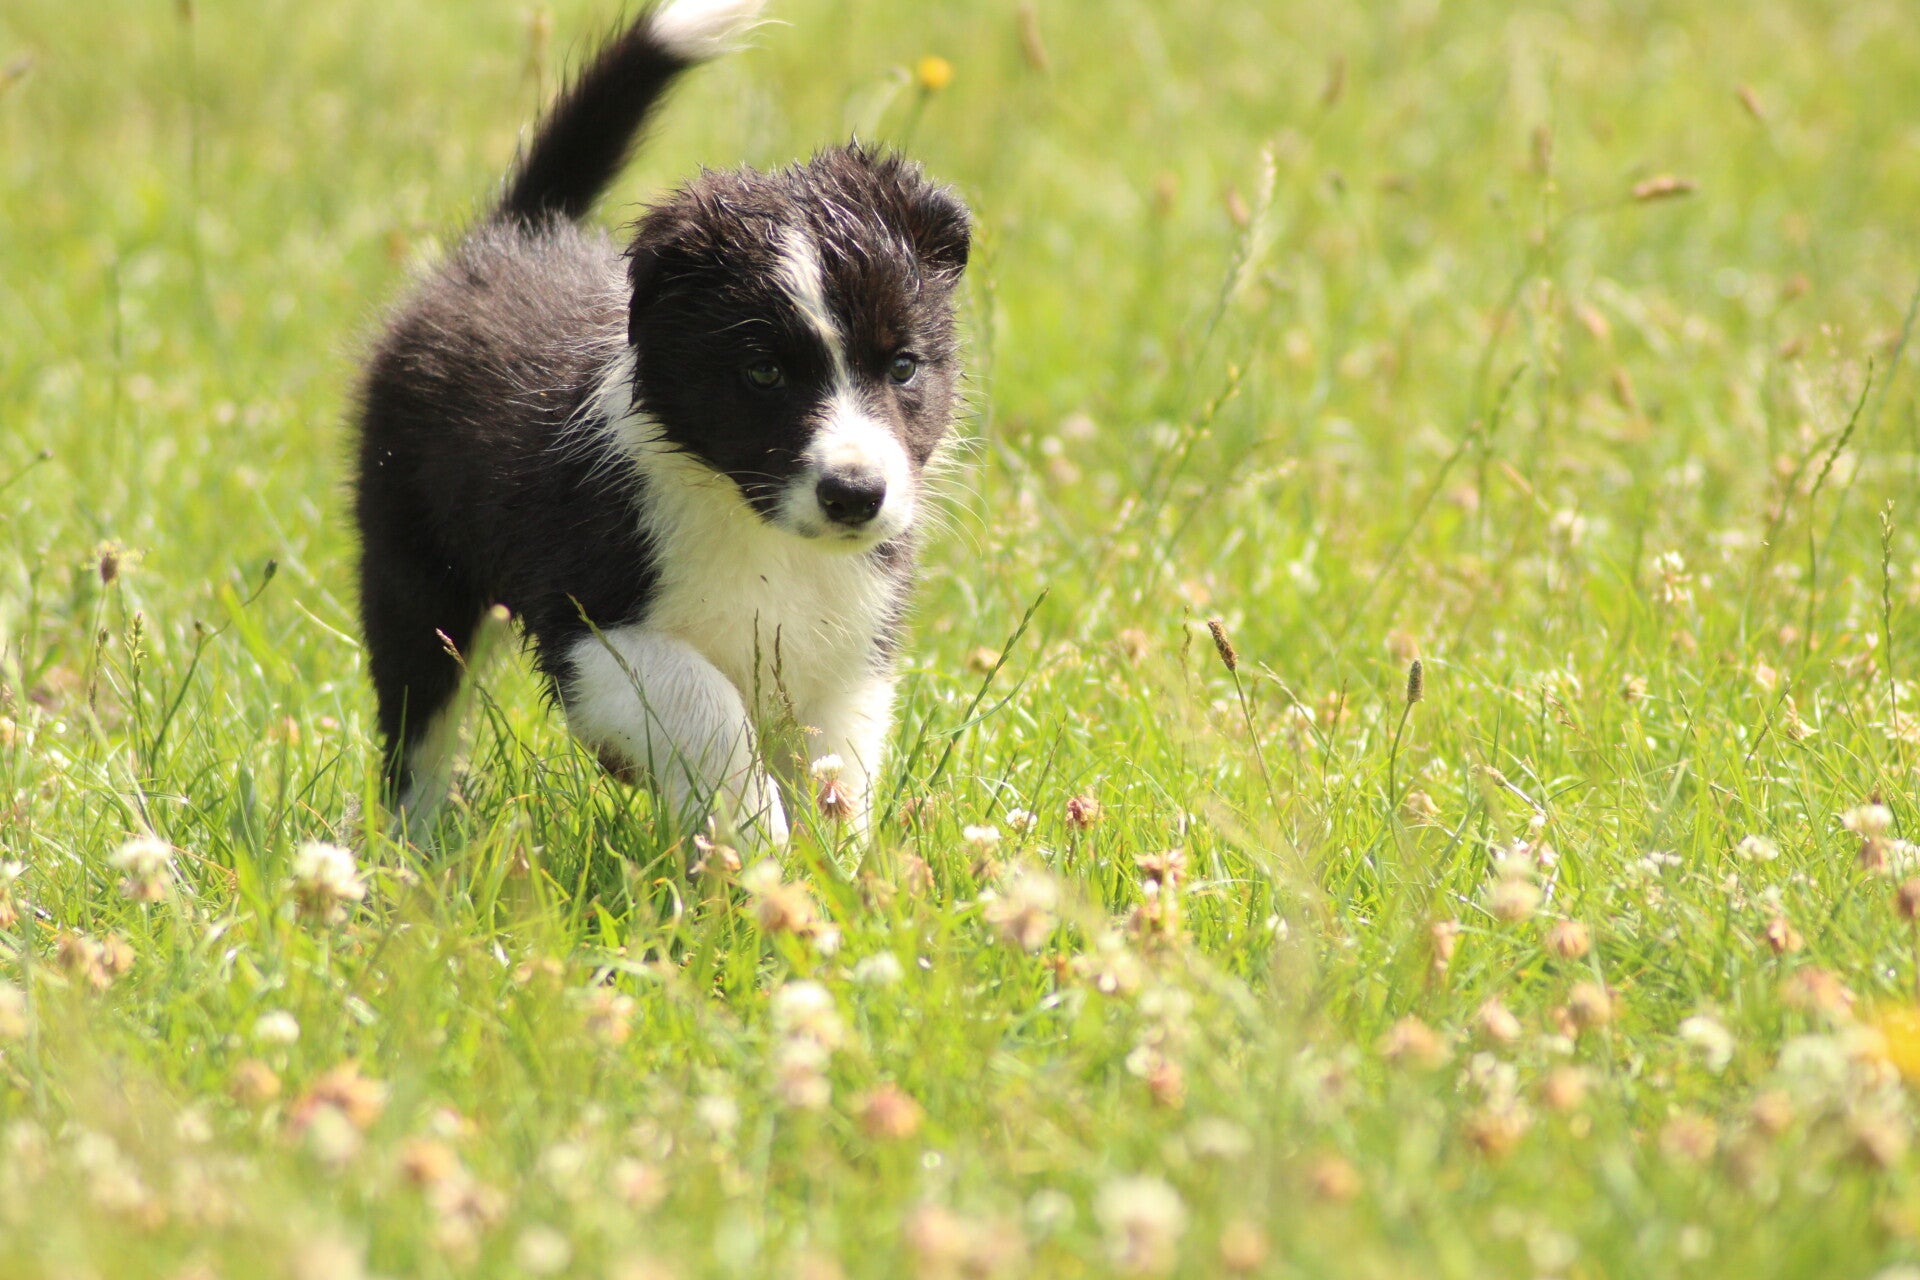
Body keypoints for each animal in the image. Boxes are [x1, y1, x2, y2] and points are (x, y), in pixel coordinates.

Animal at [352, 0, 971, 847]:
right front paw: (755, 842)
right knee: (422, 721)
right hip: (415, 562)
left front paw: (832, 869)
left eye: (904, 366)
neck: (757, 529)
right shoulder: (595, 622)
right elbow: (708, 707)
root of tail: (517, 233)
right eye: (763, 372)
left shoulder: (850, 646)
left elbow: (838, 765)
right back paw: (415, 851)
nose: (854, 495)